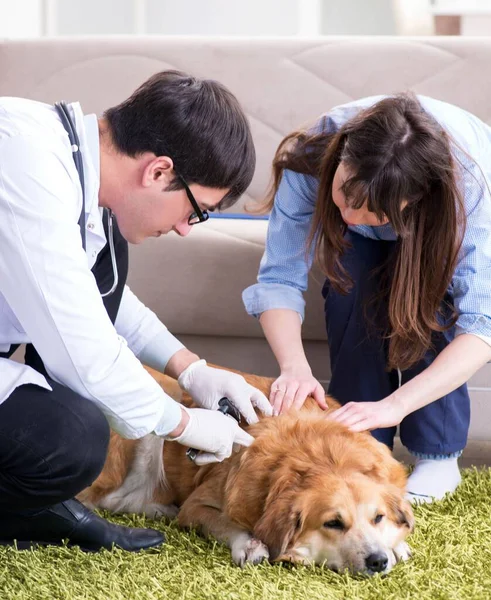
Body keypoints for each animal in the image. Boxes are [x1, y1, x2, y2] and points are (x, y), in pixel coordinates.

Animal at [79, 368, 414, 576]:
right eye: (333, 523)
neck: (320, 456)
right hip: (150, 425)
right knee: (110, 499)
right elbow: (225, 522)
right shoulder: (196, 505)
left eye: (378, 517)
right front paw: (250, 543)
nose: (377, 560)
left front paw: (396, 545)